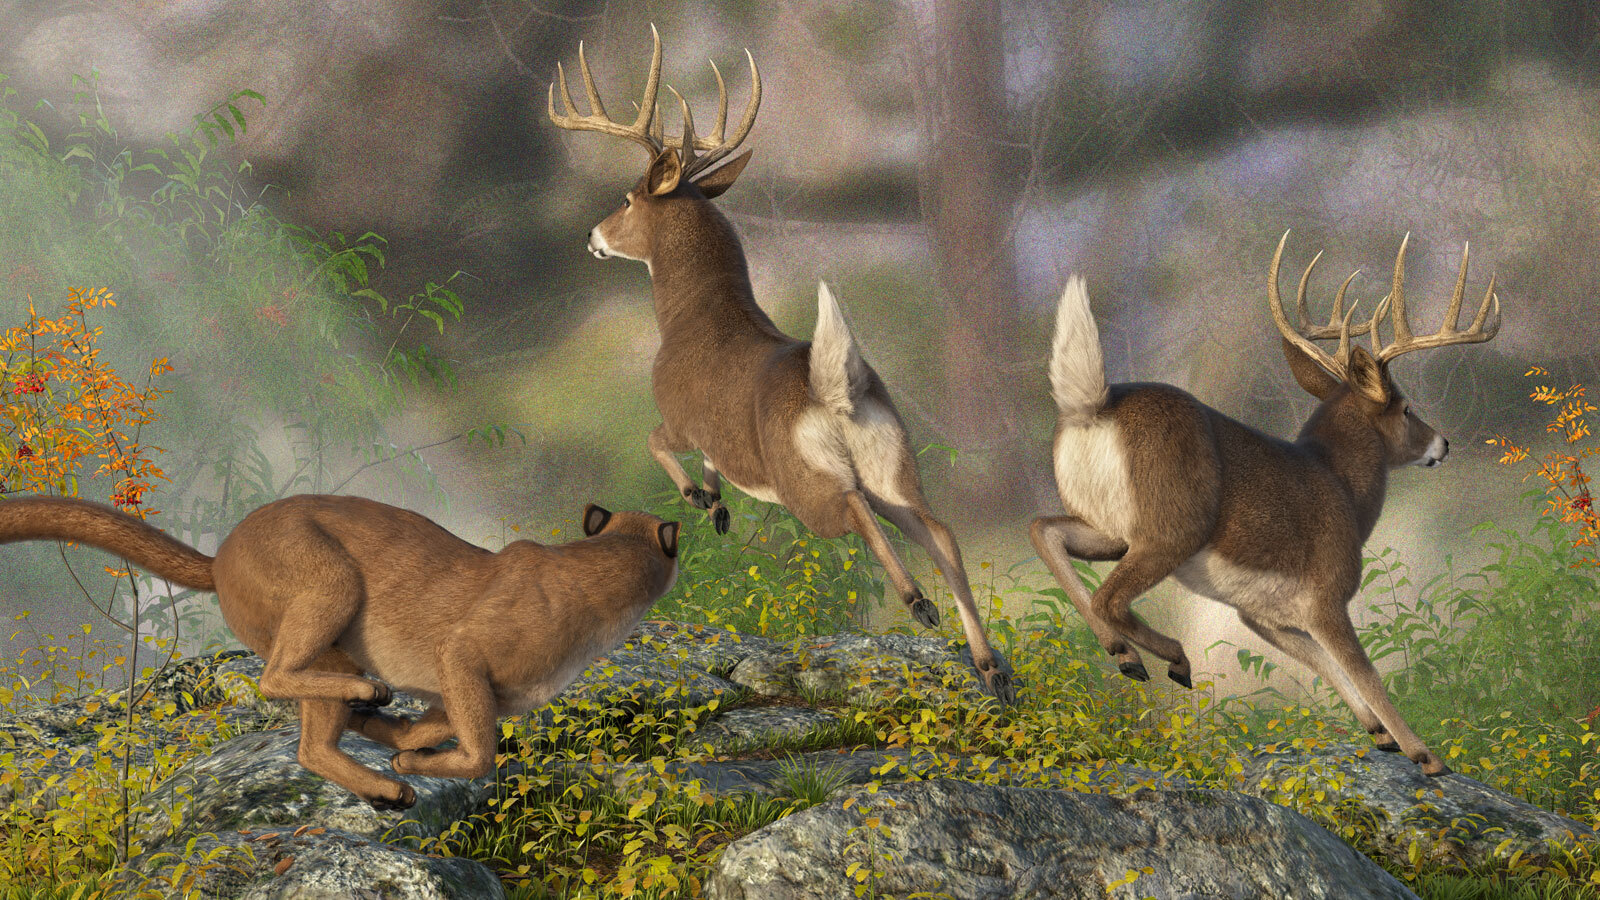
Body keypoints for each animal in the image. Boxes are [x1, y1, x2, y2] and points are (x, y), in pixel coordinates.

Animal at [546, 28, 1015, 703]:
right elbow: (710, 464)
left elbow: (653, 441)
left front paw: (697, 497)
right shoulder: (715, 435)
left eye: (627, 197)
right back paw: (990, 667)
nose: (592, 235)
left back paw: (917, 603)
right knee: (942, 531)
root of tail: (835, 389)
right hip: (896, 465)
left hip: (808, 477)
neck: (694, 317)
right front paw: (715, 505)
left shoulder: (678, 415)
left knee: (854, 510)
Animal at [1032, 231, 1503, 775]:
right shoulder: (1326, 593)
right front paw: (1426, 756)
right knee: (1107, 596)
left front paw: (1379, 734)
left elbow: (1321, 662)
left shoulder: (1262, 614)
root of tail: (1092, 405)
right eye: (1407, 408)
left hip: (1111, 528)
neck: (1341, 486)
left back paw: (1127, 655)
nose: (1442, 443)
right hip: (1173, 529)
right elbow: (1364, 670)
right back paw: (1172, 658)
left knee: (1045, 531)